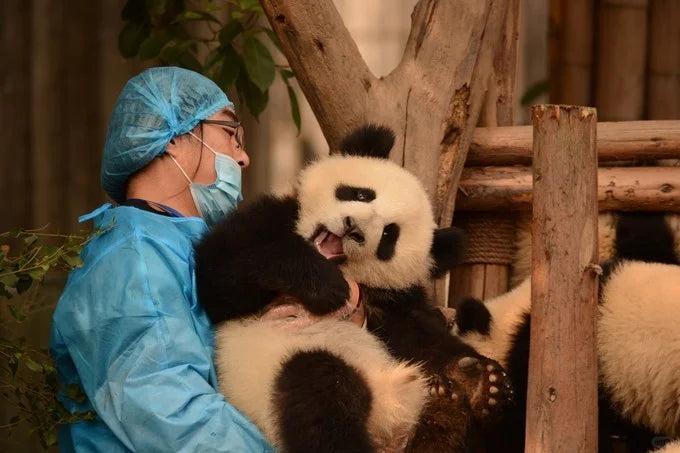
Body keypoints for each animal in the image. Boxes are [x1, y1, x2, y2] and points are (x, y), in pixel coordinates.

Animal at [194, 125, 514, 453]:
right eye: (361, 193)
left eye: (389, 235)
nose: (353, 228)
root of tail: (387, 429)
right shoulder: (273, 218)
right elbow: (223, 267)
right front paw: (326, 286)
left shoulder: (390, 299)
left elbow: (421, 335)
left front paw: (488, 379)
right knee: (320, 393)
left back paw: (461, 399)